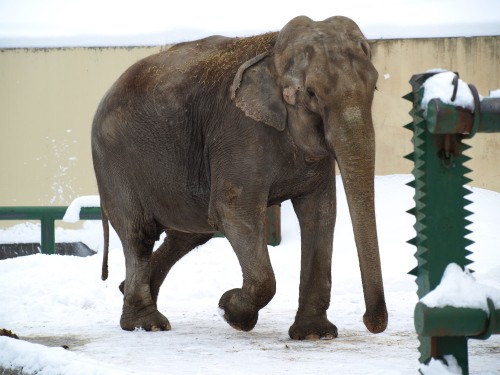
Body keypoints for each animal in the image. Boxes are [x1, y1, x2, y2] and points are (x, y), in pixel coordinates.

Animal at [92, 14, 388, 340]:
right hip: (115, 160)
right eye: (311, 93)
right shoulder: (239, 132)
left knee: (191, 232)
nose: (370, 322)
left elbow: (319, 213)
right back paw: (147, 324)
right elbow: (234, 212)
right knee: (139, 233)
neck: (273, 53)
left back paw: (129, 295)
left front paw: (314, 334)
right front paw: (230, 310)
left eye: (375, 86)